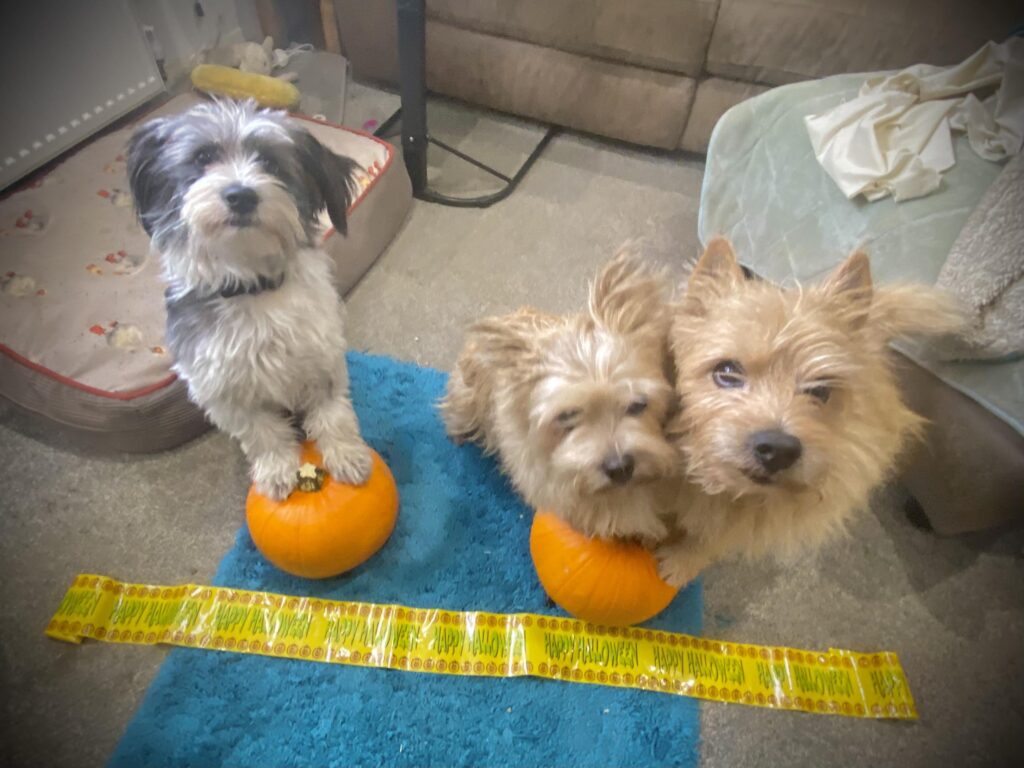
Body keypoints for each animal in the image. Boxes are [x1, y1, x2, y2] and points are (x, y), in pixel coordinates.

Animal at [129, 100, 372, 499]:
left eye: (270, 163)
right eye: (203, 157)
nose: (240, 195)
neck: (252, 288)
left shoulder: (323, 363)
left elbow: (333, 414)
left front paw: (347, 455)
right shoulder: (226, 393)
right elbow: (263, 434)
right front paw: (277, 471)